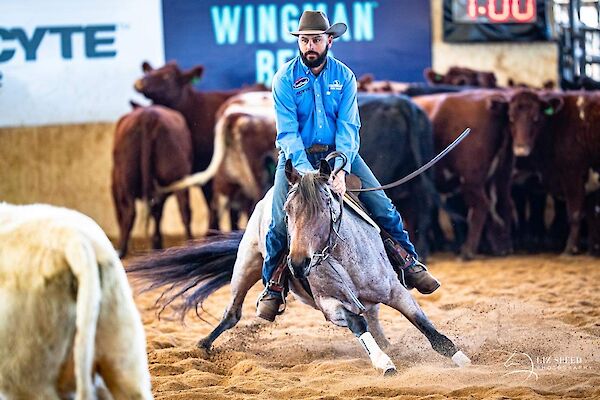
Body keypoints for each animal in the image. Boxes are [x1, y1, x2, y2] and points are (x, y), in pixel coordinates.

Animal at [112, 105, 192, 256]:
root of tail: (148, 115)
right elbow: (157, 213)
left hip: (127, 180)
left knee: (130, 212)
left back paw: (122, 250)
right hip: (177, 177)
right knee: (184, 209)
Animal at [129, 158, 472, 374]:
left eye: (325, 206)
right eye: (288, 210)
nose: (297, 263)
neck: (344, 259)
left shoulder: (395, 291)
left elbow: (426, 326)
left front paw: (460, 357)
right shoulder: (330, 305)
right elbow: (357, 323)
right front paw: (382, 362)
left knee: (373, 315)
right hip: (248, 262)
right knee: (232, 313)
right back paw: (202, 344)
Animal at [414, 90, 512, 260]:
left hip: (471, 180)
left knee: (481, 205)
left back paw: (468, 250)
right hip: (501, 177)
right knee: (503, 204)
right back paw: (501, 247)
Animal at [496, 89, 600, 255]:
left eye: (536, 118)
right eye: (511, 118)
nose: (521, 149)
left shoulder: (572, 173)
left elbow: (575, 213)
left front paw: (571, 248)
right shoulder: (590, 178)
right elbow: (591, 214)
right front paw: (593, 248)